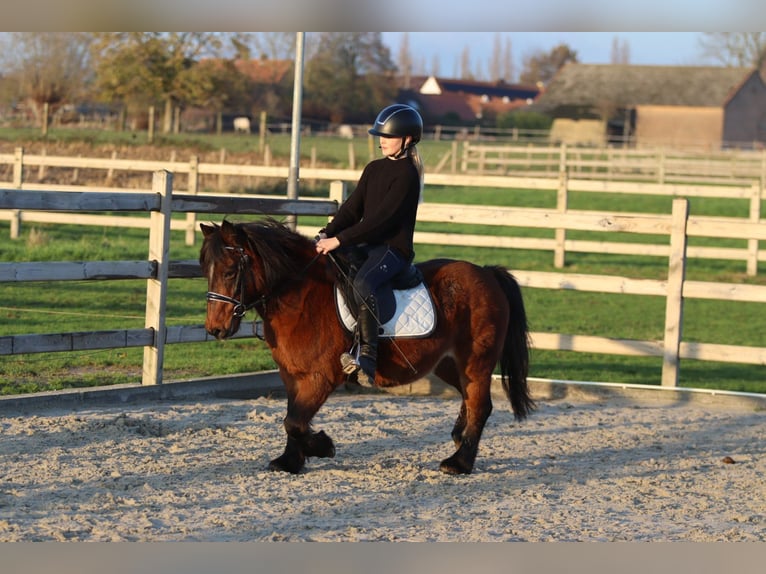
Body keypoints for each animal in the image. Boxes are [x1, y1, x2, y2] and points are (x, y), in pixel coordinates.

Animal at [199, 218, 534, 475]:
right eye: (207, 272)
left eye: (230, 272)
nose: (215, 329)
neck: (301, 296)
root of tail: (487, 273)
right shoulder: (292, 375)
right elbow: (293, 417)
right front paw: (290, 461)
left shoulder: (321, 376)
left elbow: (294, 421)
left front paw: (323, 446)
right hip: (449, 364)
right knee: (467, 397)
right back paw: (458, 440)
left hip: (475, 360)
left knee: (480, 404)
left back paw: (460, 463)